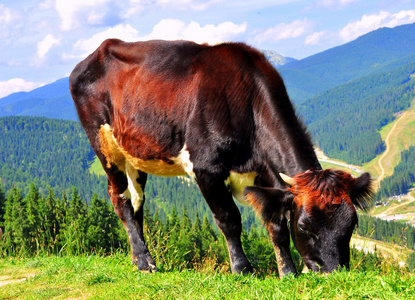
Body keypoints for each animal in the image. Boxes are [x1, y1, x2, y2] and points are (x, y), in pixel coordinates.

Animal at [70, 38, 376, 278]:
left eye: (352, 224)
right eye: (304, 225)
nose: (335, 273)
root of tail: (98, 51)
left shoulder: (265, 172)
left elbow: (275, 224)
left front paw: (287, 272)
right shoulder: (206, 168)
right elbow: (229, 219)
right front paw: (242, 269)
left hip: (136, 154)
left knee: (137, 203)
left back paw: (139, 257)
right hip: (104, 145)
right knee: (119, 199)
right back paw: (145, 262)